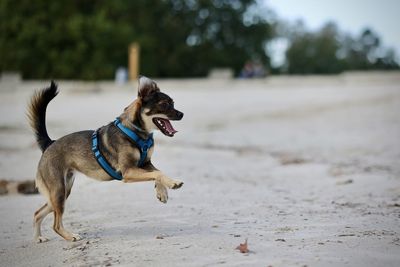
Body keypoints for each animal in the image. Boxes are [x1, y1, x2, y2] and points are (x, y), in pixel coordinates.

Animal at [28, 76, 184, 244]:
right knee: (55, 224)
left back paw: (38, 237)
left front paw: (162, 191)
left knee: (37, 213)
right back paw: (70, 236)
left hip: (61, 192)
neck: (135, 130)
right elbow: (157, 173)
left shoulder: (145, 163)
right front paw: (172, 184)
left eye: (173, 103)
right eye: (164, 104)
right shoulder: (128, 172)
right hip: (58, 192)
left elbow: (158, 172)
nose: (182, 114)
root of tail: (50, 143)